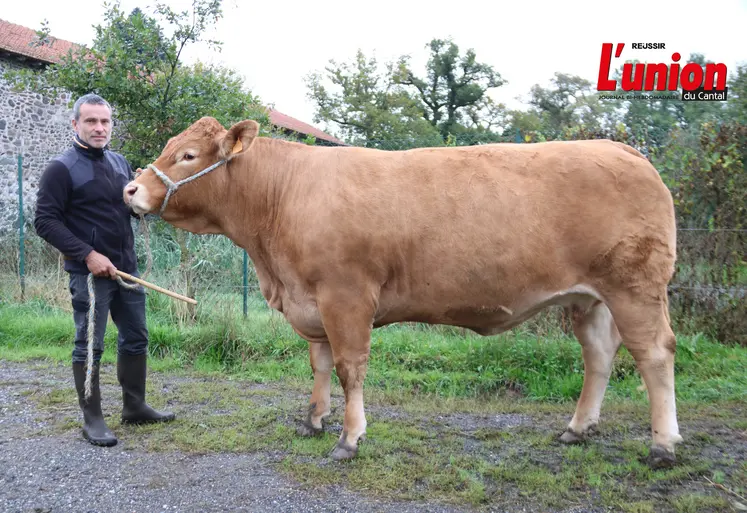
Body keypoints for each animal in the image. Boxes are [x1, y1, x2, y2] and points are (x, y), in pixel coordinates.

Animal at [122, 117, 684, 468]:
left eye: (188, 154)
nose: (131, 189)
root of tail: (621, 149)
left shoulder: (345, 295)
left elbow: (349, 367)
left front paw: (349, 439)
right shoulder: (312, 302)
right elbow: (319, 365)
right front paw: (313, 420)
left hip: (635, 287)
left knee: (654, 354)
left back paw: (663, 446)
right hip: (588, 297)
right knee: (600, 355)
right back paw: (577, 428)